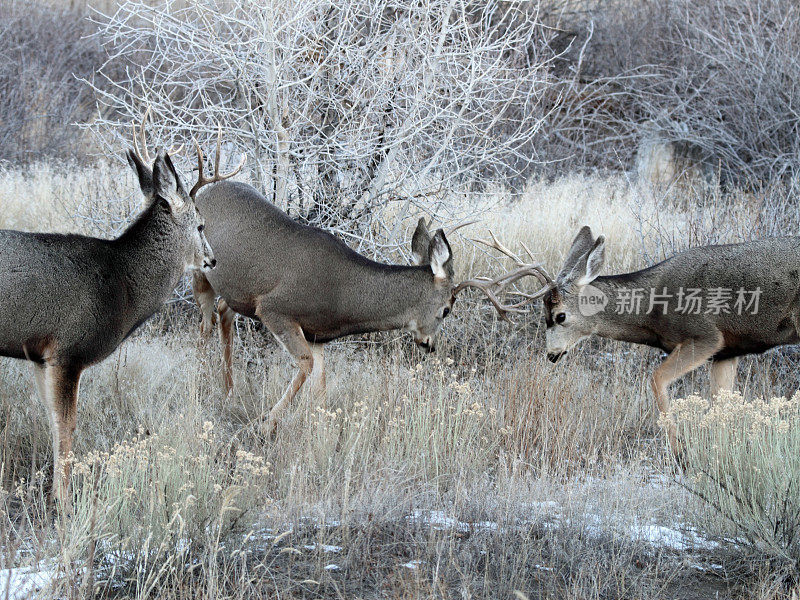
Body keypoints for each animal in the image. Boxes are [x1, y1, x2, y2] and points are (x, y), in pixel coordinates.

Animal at [0, 111, 216, 506]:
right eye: (200, 224)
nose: (212, 259)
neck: (123, 283)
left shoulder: (39, 356)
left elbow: (51, 420)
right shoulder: (67, 349)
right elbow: (67, 424)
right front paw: (63, 500)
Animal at [189, 169, 552, 432]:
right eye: (447, 310)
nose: (429, 344)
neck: (341, 295)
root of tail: (203, 191)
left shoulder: (317, 335)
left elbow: (321, 386)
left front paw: (319, 429)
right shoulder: (275, 308)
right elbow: (304, 366)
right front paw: (265, 423)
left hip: (234, 293)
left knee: (222, 311)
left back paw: (228, 390)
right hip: (199, 269)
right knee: (205, 320)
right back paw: (202, 385)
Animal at [540, 226, 796, 450]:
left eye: (560, 316)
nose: (551, 354)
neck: (652, 309)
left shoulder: (706, 336)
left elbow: (656, 379)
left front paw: (680, 451)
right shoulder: (726, 352)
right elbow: (721, 405)